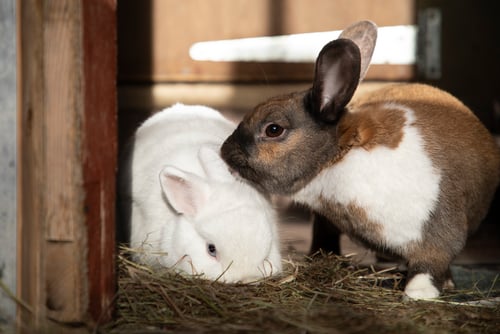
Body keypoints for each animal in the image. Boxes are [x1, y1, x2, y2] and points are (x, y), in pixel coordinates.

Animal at [221, 20, 500, 298]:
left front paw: (418, 293)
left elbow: (431, 263)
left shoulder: (440, 229)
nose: (225, 152)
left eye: (273, 129)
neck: (337, 157)